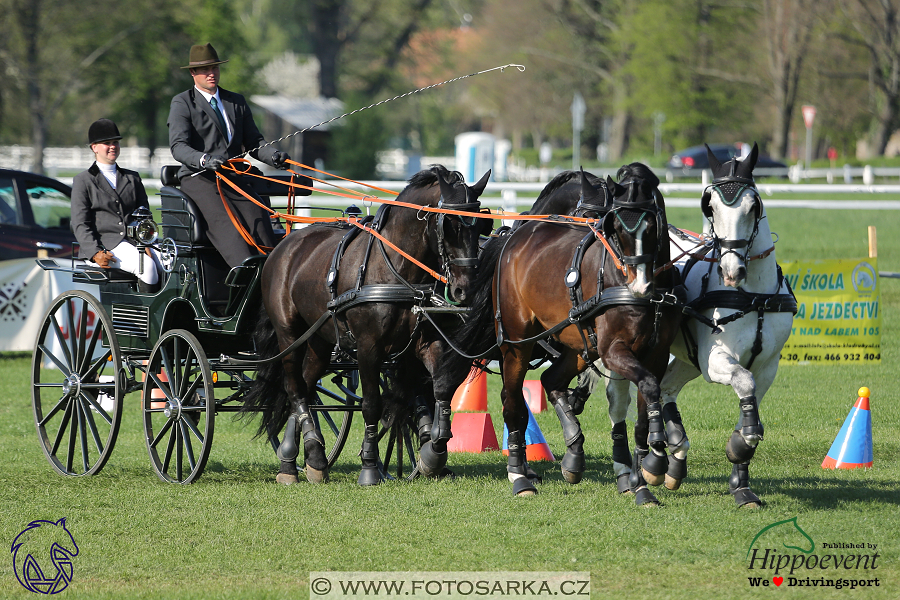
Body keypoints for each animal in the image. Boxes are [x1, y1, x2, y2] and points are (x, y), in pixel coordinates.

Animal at [243, 166, 488, 486]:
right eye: (449, 225)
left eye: (480, 225)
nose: (464, 290)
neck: (396, 270)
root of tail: (284, 245)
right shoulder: (368, 348)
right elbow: (372, 403)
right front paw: (370, 466)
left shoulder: (423, 344)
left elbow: (441, 388)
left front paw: (433, 454)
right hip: (289, 335)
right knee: (294, 388)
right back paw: (306, 457)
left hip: (319, 341)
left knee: (306, 387)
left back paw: (298, 460)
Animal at [576, 145, 796, 506]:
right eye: (711, 207)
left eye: (754, 205)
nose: (731, 270)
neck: (751, 294)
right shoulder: (715, 361)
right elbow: (744, 382)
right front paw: (738, 446)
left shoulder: (768, 367)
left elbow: (750, 403)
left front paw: (741, 480)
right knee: (620, 400)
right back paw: (634, 470)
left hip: (684, 359)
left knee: (666, 387)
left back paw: (672, 456)